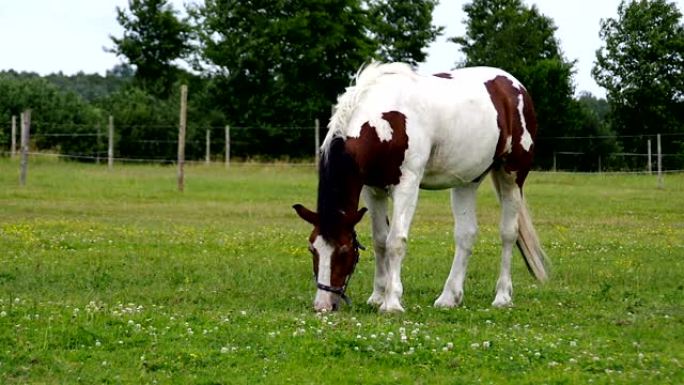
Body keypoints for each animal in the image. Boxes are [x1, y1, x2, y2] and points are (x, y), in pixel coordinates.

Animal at [292, 62, 548, 312]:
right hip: (467, 181)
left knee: (508, 233)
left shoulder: (407, 184)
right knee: (466, 235)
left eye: (344, 250)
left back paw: (502, 297)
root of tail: (513, 85)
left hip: (512, 175)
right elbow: (379, 241)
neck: (384, 121)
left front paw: (392, 302)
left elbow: (395, 241)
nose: (323, 305)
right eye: (312, 249)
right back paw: (449, 297)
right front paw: (377, 296)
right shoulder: (372, 190)